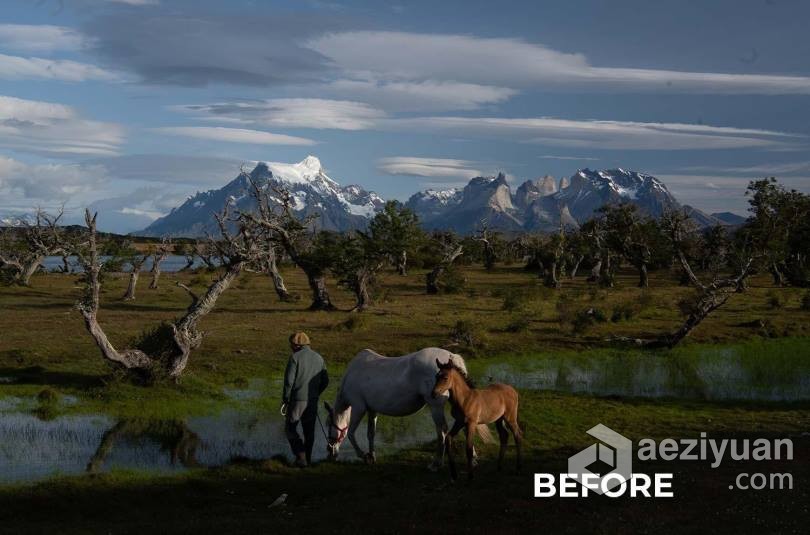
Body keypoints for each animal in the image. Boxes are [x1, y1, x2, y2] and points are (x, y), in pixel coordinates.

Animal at [322, 348, 474, 468]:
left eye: (329, 424)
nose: (330, 452)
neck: (351, 376)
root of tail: (451, 356)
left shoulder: (359, 408)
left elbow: (351, 434)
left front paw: (364, 456)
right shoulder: (372, 410)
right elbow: (371, 434)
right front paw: (372, 456)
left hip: (435, 406)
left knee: (442, 431)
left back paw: (436, 463)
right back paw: (472, 459)